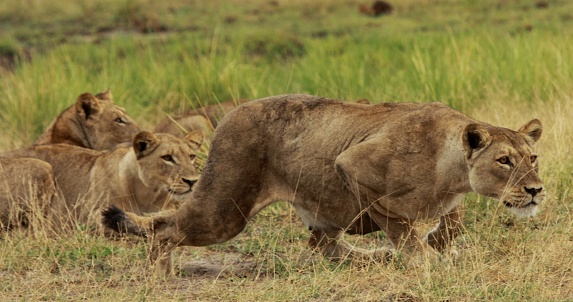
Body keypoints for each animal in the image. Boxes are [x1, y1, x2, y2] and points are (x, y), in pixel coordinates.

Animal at [100, 95, 544, 274]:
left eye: (532, 158)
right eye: (504, 161)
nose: (536, 190)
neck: (453, 171)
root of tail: (231, 113)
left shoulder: (450, 202)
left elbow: (449, 225)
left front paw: (435, 246)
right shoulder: (354, 163)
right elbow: (399, 224)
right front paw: (421, 258)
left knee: (321, 244)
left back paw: (373, 257)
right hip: (224, 210)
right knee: (165, 225)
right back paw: (160, 273)